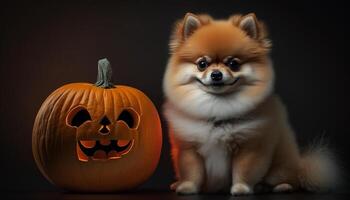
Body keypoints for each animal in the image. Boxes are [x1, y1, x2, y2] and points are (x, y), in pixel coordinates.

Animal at [162, 12, 340, 195]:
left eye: (233, 64)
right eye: (202, 64)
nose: (216, 74)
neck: (217, 108)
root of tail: (300, 164)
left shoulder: (249, 147)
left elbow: (243, 171)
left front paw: (241, 188)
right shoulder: (189, 148)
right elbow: (192, 172)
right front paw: (187, 187)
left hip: (280, 167)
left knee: (291, 180)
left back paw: (280, 186)